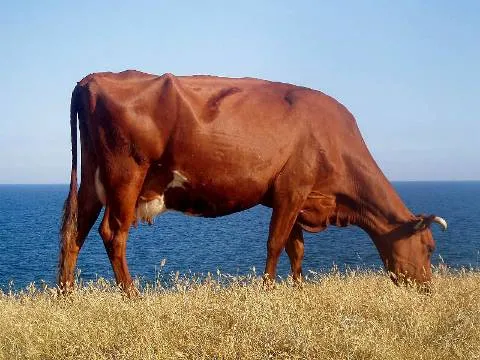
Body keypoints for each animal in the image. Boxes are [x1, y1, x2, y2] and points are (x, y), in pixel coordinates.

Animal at [58, 69, 448, 292]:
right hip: (126, 173)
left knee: (75, 230)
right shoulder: (293, 188)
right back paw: (132, 296)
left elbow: (296, 248)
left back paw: (66, 296)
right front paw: (268, 291)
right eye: (429, 247)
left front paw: (298, 291)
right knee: (113, 233)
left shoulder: (297, 197)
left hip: (93, 178)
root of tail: (92, 78)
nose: (428, 288)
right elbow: (276, 244)